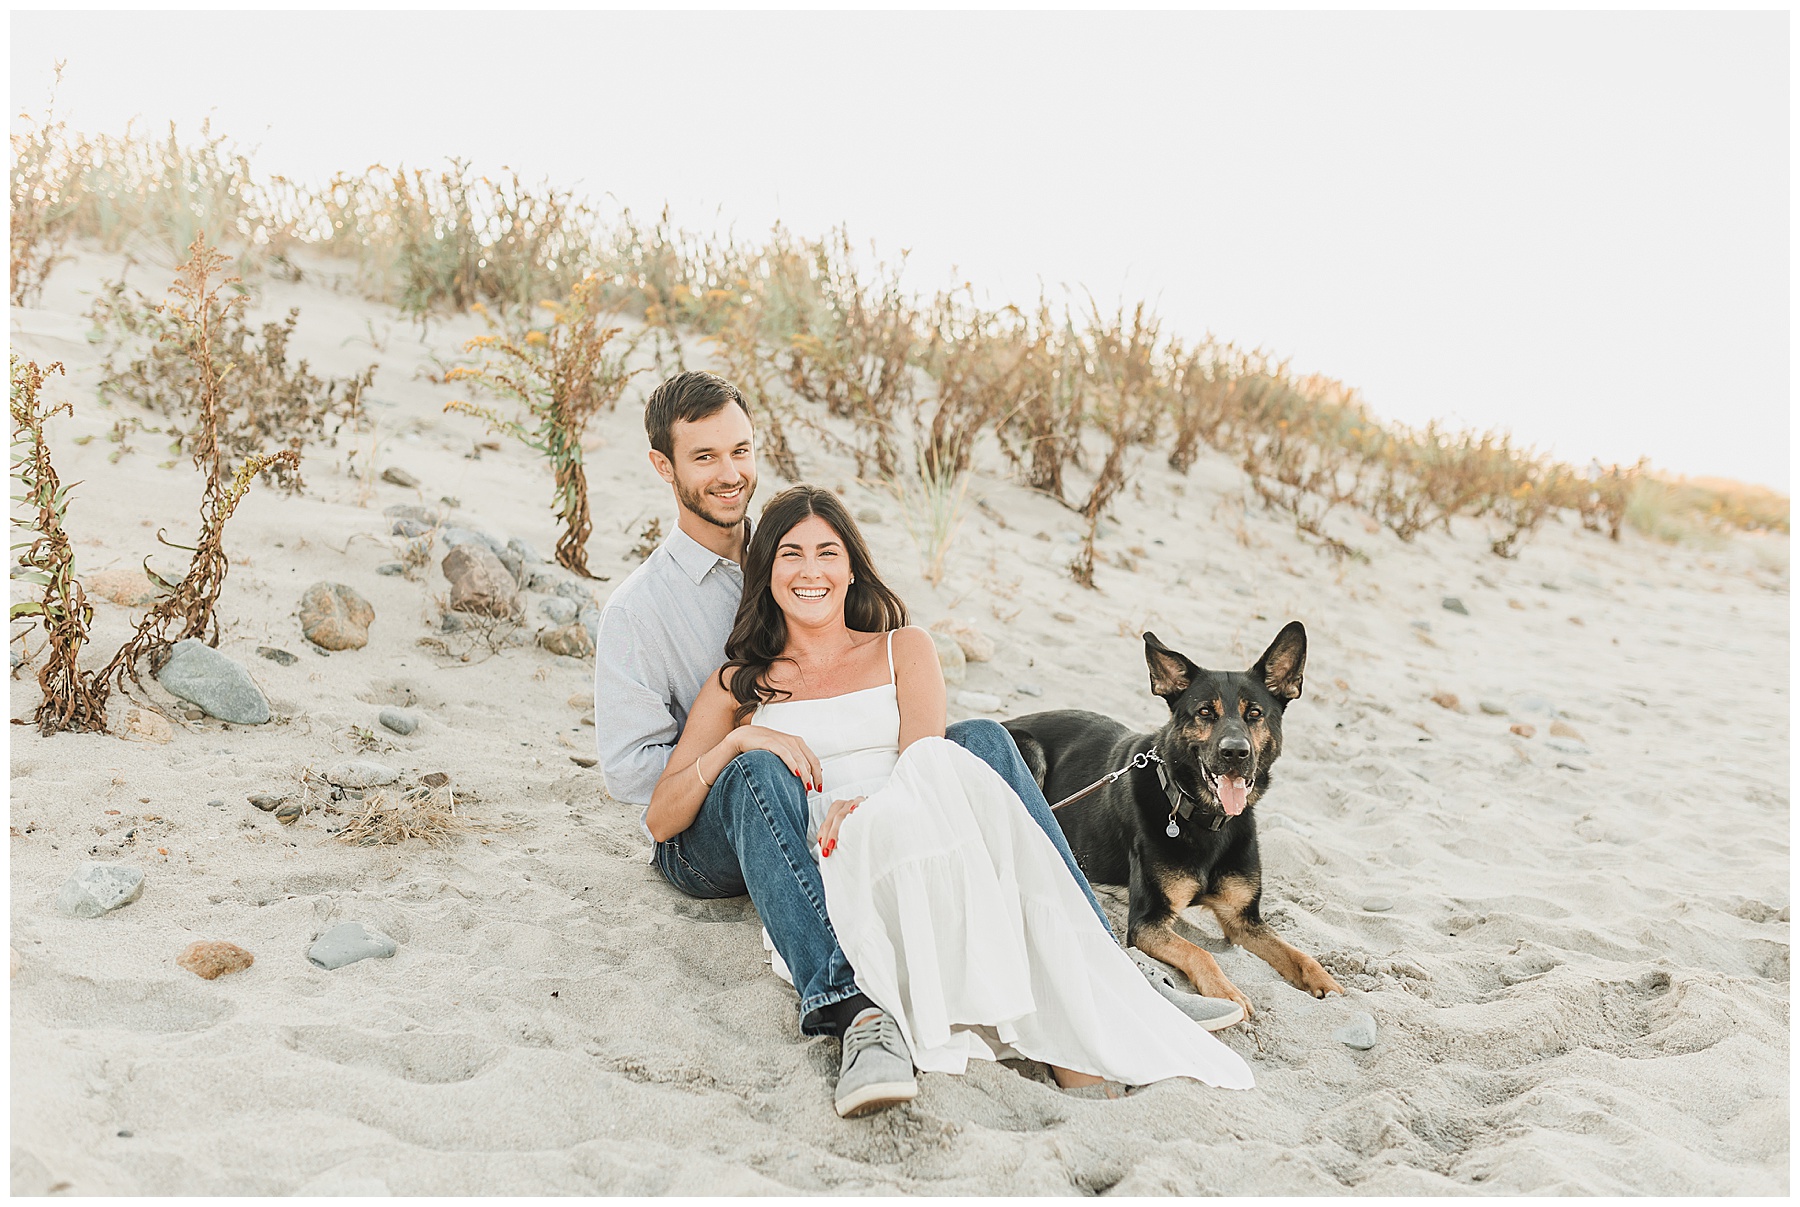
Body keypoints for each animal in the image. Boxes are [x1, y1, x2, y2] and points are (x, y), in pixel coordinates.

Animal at [1008, 622, 1346, 1021]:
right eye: (1205, 712)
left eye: (1255, 713)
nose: (1235, 753)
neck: (1205, 820)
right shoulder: (1148, 922)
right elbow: (1199, 952)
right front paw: (1228, 993)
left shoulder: (1243, 919)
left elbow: (1298, 955)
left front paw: (1327, 984)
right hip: (1028, 749)